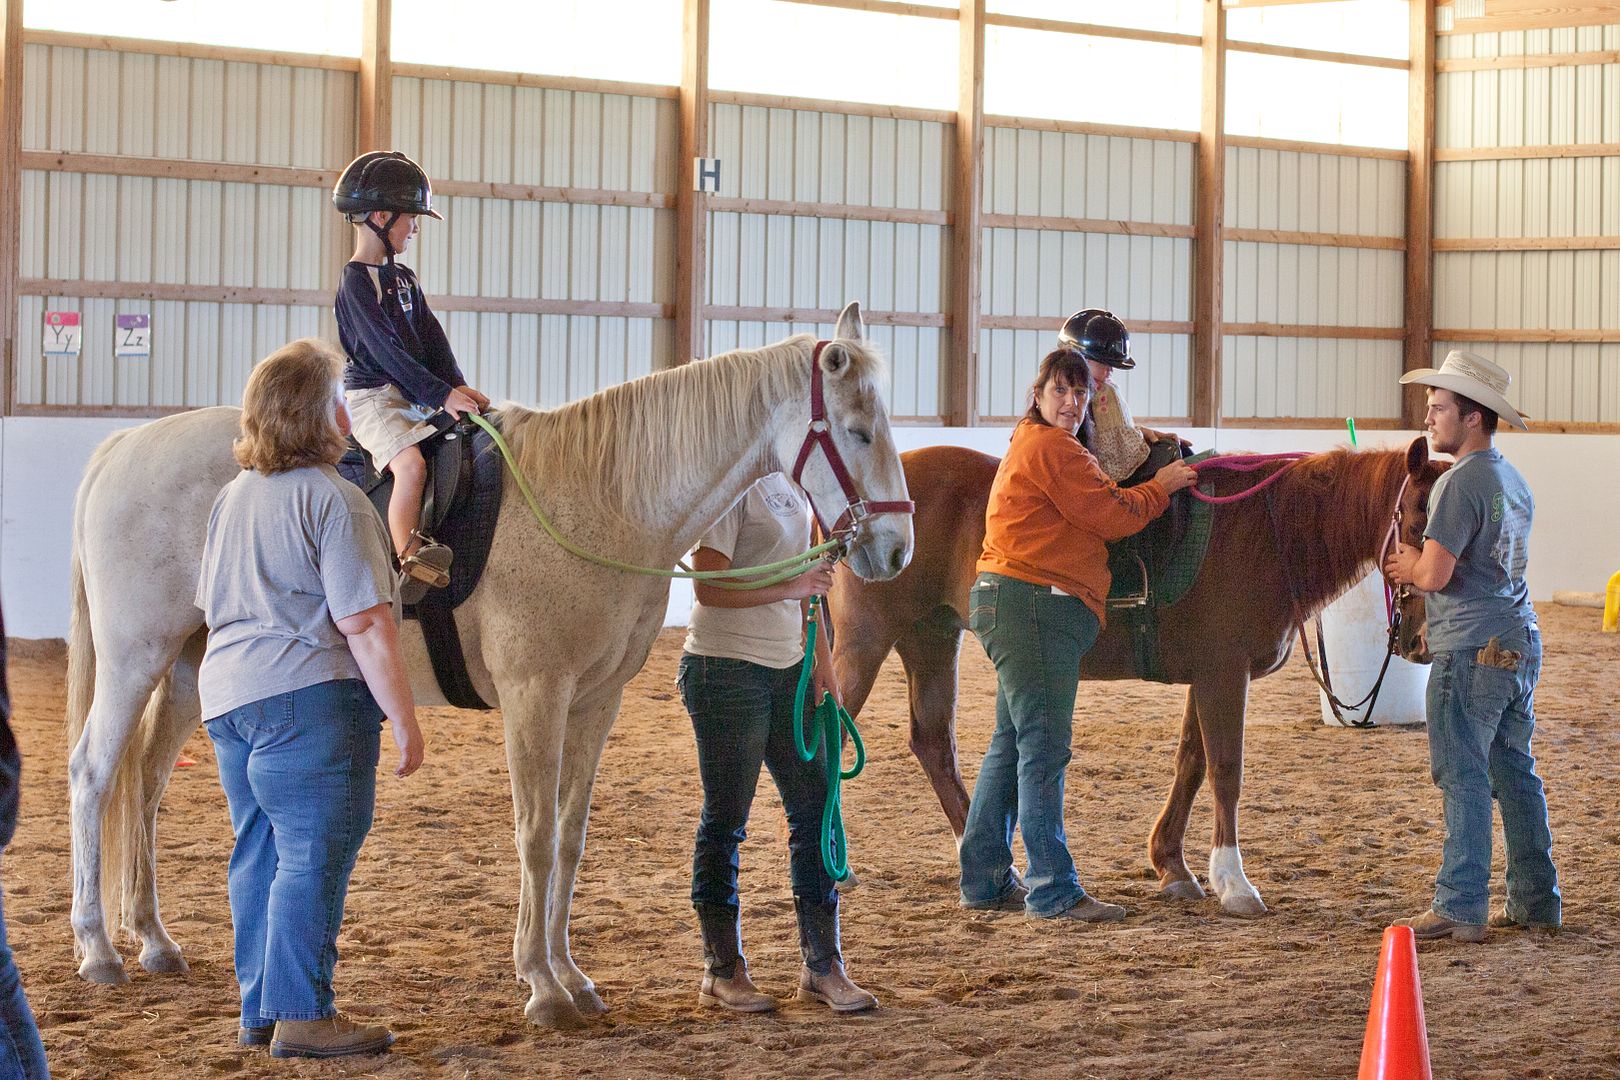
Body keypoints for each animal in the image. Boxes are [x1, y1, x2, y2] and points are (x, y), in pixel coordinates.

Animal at [66, 304, 913, 1029]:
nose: (897, 550)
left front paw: (571, 976)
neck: (602, 499)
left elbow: (568, 836)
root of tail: (119, 450)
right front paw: (541, 987)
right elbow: (533, 834)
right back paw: (99, 949)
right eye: (858, 431)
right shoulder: (536, 695)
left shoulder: (595, 701)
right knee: (96, 773)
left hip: (188, 665)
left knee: (145, 783)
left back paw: (153, 939)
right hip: (137, 653)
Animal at [829, 433, 1438, 919]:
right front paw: (1234, 883)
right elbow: (1226, 770)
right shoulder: (1225, 672)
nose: (1421, 641)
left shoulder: (1208, 674)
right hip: (865, 643)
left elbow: (1191, 762)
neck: (1270, 530)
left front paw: (1174, 866)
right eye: (1418, 519)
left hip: (930, 637)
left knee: (933, 743)